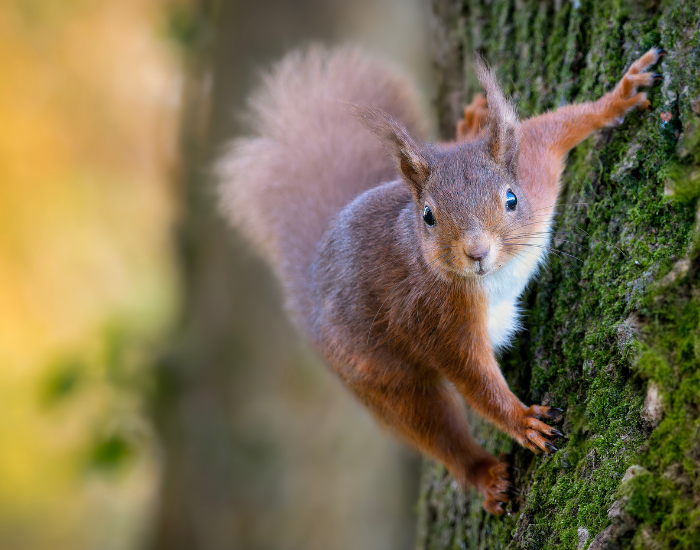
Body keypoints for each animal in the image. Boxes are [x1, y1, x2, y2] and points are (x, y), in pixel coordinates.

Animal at [219, 46, 663, 514]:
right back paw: (485, 476)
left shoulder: (535, 166)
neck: (498, 274)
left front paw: (620, 95)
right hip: (381, 379)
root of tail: (312, 291)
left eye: (511, 198)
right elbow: (474, 379)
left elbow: (557, 124)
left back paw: (467, 126)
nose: (477, 253)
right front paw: (522, 422)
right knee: (436, 431)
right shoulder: (434, 318)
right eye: (428, 216)